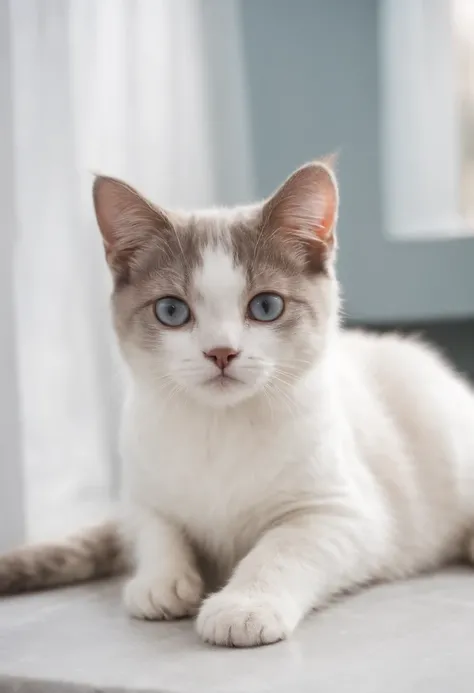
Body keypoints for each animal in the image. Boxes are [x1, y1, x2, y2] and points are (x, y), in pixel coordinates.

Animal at [0, 159, 474, 648]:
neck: (219, 426)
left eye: (266, 306)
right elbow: (155, 529)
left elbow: (281, 549)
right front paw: (161, 580)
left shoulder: (341, 510)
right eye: (171, 311)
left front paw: (244, 606)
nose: (221, 352)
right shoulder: (139, 492)